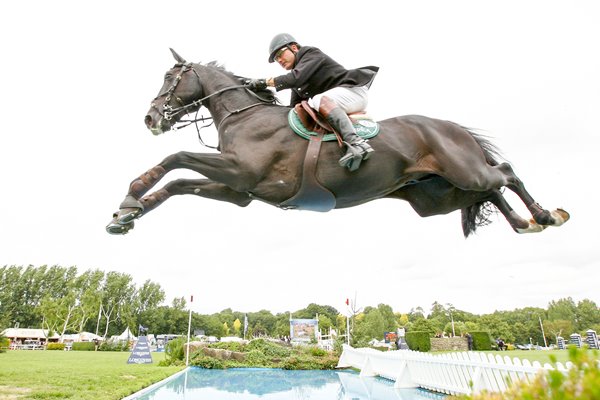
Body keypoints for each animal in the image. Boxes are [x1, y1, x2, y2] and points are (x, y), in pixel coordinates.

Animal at [105, 50, 568, 238]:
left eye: (170, 78)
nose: (150, 118)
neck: (244, 115)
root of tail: (452, 127)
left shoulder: (240, 172)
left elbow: (175, 157)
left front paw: (131, 195)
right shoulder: (239, 190)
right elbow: (178, 184)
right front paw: (128, 214)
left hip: (462, 171)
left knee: (504, 174)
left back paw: (546, 215)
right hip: (436, 196)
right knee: (490, 189)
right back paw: (523, 223)